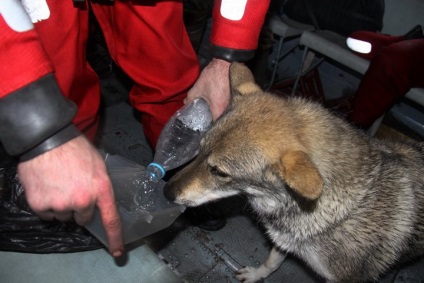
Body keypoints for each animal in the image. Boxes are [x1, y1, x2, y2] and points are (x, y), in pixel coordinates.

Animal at [164, 63, 424, 282]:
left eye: (219, 171)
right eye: (199, 149)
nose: (166, 192)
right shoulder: (284, 240)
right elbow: (271, 262)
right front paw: (256, 275)